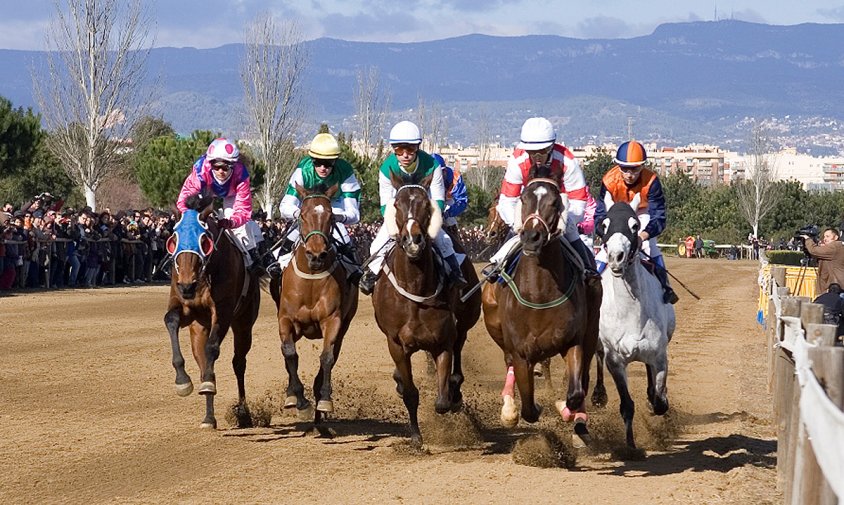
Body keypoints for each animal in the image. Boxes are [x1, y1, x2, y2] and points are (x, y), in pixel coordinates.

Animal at [163, 191, 258, 428]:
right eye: (173, 240)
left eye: (204, 240)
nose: (187, 285)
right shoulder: (186, 308)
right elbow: (170, 320)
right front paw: (182, 382)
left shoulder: (222, 311)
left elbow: (213, 348)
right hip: (198, 329)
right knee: (203, 363)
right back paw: (208, 416)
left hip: (244, 322)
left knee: (238, 363)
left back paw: (243, 413)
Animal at [268, 183, 358, 424]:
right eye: (302, 215)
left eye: (331, 216)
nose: (316, 255)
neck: (310, 282)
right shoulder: (285, 319)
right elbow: (289, 353)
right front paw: (299, 400)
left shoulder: (333, 320)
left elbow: (327, 357)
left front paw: (324, 398)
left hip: (345, 325)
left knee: (333, 353)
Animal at [376, 170, 482, 444]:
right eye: (396, 204)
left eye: (426, 205)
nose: (413, 240)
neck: (416, 288)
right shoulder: (396, 343)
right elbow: (410, 392)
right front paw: (415, 436)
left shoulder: (442, 341)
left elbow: (442, 401)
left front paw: (451, 399)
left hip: (464, 324)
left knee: (458, 359)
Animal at [482, 163, 600, 440]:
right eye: (523, 199)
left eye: (555, 202)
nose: (532, 236)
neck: (539, 292)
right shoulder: (520, 350)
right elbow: (528, 406)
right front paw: (520, 409)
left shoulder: (573, 340)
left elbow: (575, 392)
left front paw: (567, 410)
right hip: (495, 326)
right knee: (509, 364)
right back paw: (509, 407)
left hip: (592, 328)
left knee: (584, 374)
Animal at [596, 194, 676, 448]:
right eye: (604, 225)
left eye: (635, 226)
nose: (616, 257)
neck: (630, 314)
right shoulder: (615, 361)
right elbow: (627, 406)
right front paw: (630, 446)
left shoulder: (659, 356)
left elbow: (659, 399)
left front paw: (656, 400)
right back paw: (598, 394)